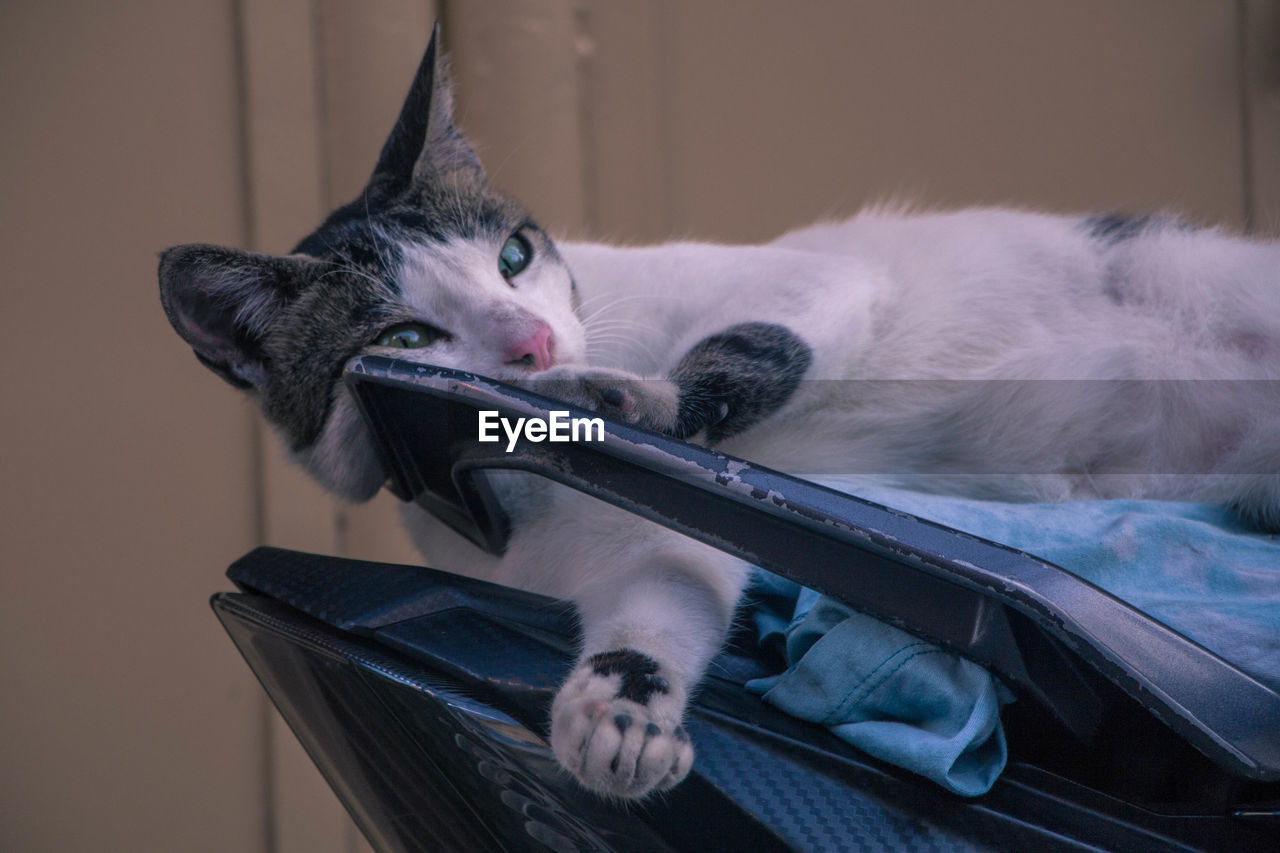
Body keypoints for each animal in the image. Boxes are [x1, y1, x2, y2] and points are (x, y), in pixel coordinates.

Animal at [160, 28, 1280, 799]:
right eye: (403, 335)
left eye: (512, 257)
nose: (532, 347)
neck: (522, 492)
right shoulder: (641, 549)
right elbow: (663, 601)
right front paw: (617, 712)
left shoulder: (810, 281)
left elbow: (744, 351)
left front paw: (631, 393)